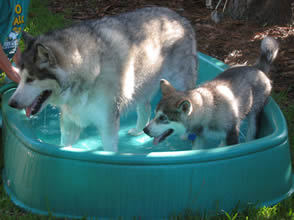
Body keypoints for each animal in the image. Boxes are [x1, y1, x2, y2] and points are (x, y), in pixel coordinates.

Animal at [8, 6, 198, 151]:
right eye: (21, 76)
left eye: (31, 79)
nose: (11, 103)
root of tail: (180, 18)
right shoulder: (70, 122)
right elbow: (64, 146)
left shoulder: (108, 126)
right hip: (141, 86)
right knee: (145, 108)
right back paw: (138, 131)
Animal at [144, 36, 280, 150]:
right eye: (155, 114)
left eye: (163, 118)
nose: (145, 130)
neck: (208, 110)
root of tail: (257, 68)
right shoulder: (199, 137)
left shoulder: (231, 134)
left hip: (255, 112)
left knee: (251, 131)